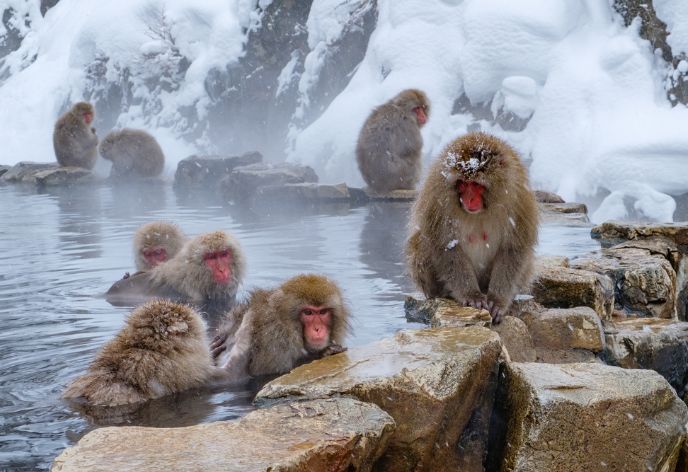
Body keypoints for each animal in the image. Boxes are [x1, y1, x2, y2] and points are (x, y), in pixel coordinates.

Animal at [210, 274, 349, 382]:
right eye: (308, 312)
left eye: (322, 312)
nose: (317, 329)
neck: (288, 324)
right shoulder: (275, 338)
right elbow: (267, 372)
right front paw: (325, 352)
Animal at [406, 131, 538, 324]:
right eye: (463, 183)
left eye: (475, 184)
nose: (468, 199)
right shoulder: (438, 196)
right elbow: (445, 246)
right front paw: (472, 295)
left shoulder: (518, 197)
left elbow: (513, 248)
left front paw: (498, 301)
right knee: (422, 243)